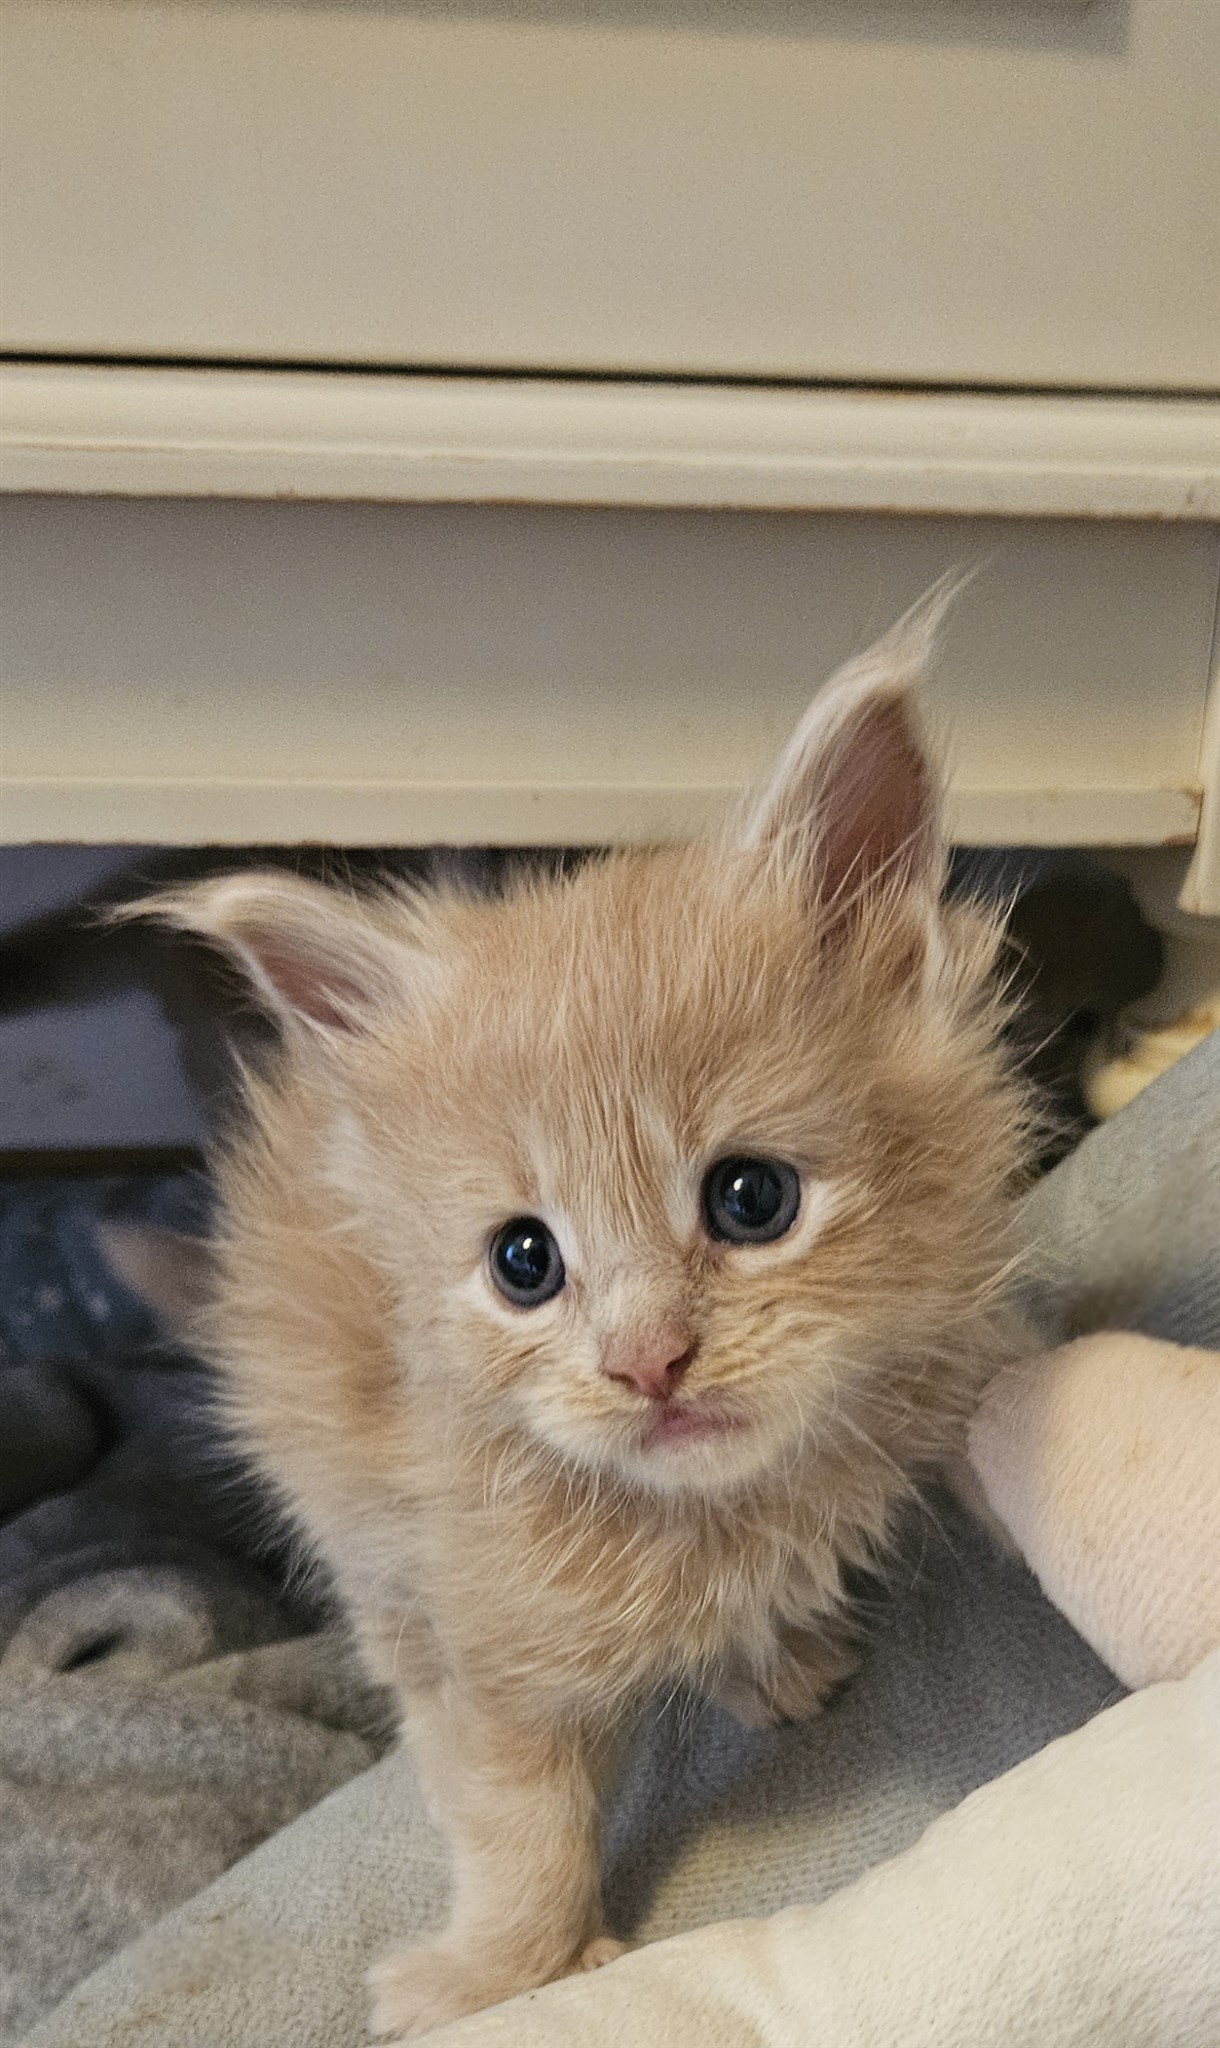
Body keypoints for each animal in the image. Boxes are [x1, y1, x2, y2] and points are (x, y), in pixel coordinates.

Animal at [136, 591, 1031, 2040]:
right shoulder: (478, 1638)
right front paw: (501, 1974)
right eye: (522, 1261)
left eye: (750, 1197)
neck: (717, 1518)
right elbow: (518, 1824)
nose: (645, 1362)